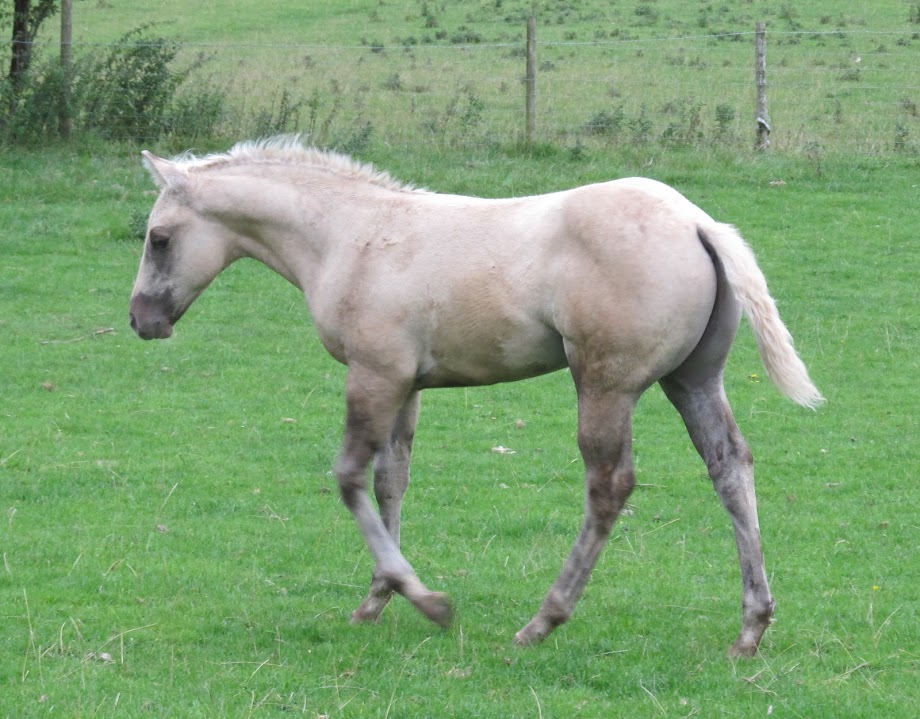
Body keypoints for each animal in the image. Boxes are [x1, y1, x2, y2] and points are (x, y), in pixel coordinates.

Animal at [127, 136, 820, 660]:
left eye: (158, 237)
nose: (141, 320)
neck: (352, 237)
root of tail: (697, 222)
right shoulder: (405, 386)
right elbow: (391, 481)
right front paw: (377, 597)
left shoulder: (373, 375)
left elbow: (350, 478)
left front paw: (427, 601)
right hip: (693, 381)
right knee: (730, 467)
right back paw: (751, 628)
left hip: (605, 385)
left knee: (609, 486)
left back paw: (542, 621)